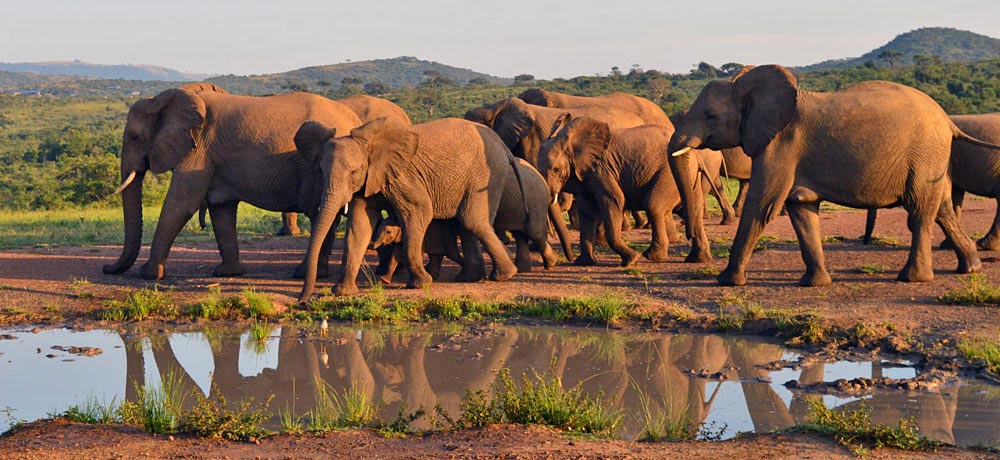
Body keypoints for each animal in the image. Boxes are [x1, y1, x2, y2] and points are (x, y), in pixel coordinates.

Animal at [103, 83, 363, 280]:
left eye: (134, 137)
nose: (107, 269)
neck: (162, 99)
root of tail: (354, 119)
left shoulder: (197, 151)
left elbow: (180, 205)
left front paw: (148, 274)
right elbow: (221, 209)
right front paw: (227, 273)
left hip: (317, 168)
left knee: (316, 211)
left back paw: (302, 273)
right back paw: (317, 273)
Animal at [295, 117, 523, 300]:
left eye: (353, 172)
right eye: (320, 171)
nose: (303, 300)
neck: (371, 146)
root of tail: (502, 145)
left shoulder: (402, 177)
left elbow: (419, 211)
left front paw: (420, 284)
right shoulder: (368, 181)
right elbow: (359, 226)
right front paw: (342, 292)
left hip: (485, 175)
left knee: (472, 220)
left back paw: (504, 275)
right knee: (466, 223)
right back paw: (471, 278)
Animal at [538, 116, 720, 266]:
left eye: (555, 170)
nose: (568, 259)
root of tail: (696, 156)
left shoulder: (601, 170)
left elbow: (614, 201)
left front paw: (631, 260)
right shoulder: (585, 176)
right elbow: (588, 213)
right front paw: (585, 262)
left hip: (668, 175)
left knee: (653, 205)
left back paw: (652, 256)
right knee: (692, 210)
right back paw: (697, 259)